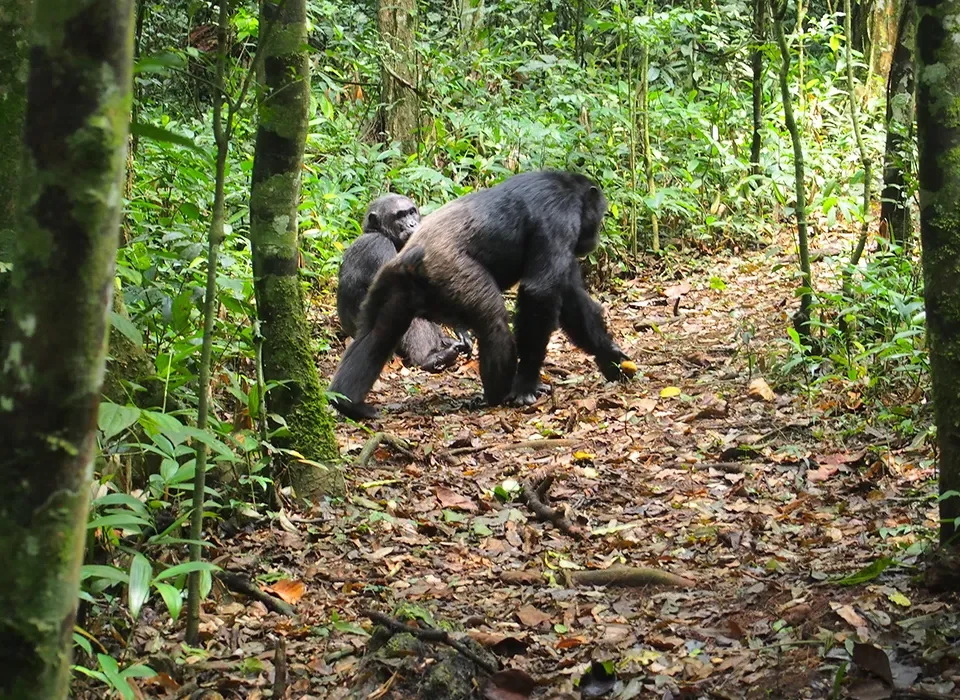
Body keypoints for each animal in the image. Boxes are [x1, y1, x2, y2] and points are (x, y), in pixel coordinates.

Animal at [336, 194, 472, 374]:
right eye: (400, 216)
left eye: (411, 212)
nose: (412, 223)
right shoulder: (378, 247)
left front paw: (461, 328)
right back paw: (430, 358)